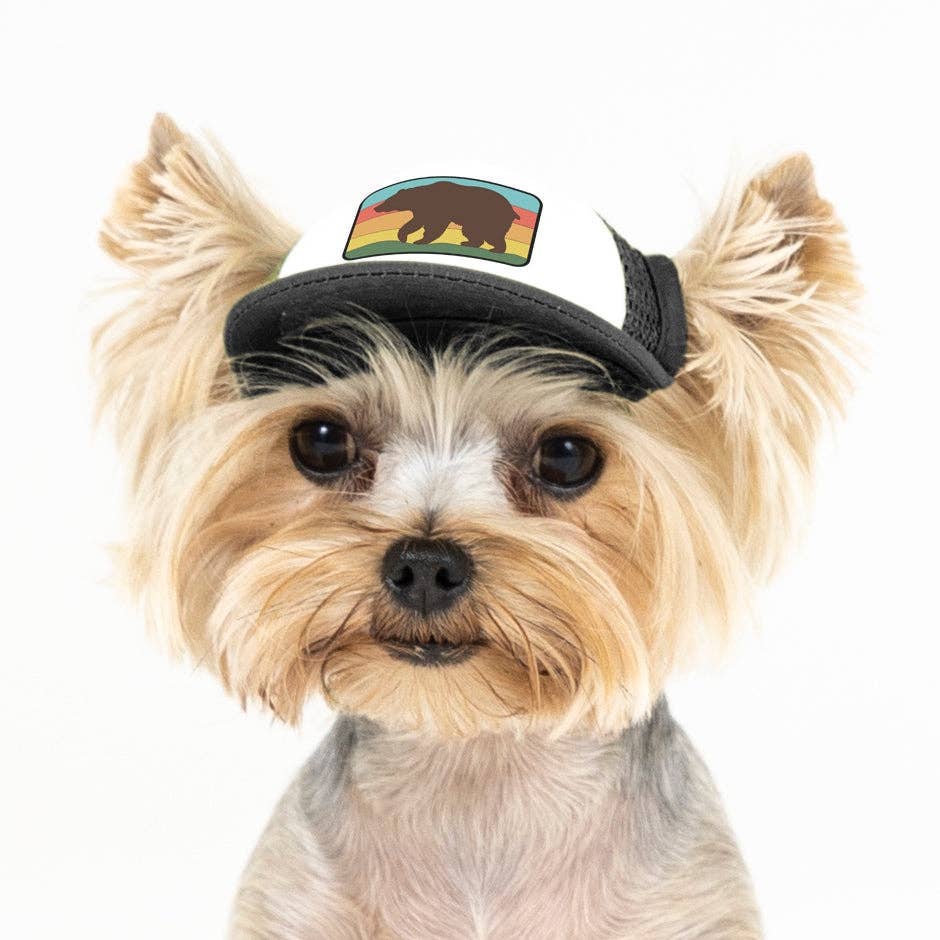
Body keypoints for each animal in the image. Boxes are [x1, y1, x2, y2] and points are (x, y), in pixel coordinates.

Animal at [372, 180, 520, 255]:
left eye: (388, 200)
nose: (376, 208)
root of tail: (512, 211)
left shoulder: (439, 209)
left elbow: (434, 225)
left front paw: (418, 240)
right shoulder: (423, 210)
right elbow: (417, 222)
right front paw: (405, 237)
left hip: (490, 218)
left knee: (492, 234)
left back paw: (496, 249)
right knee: (472, 232)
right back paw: (468, 243)